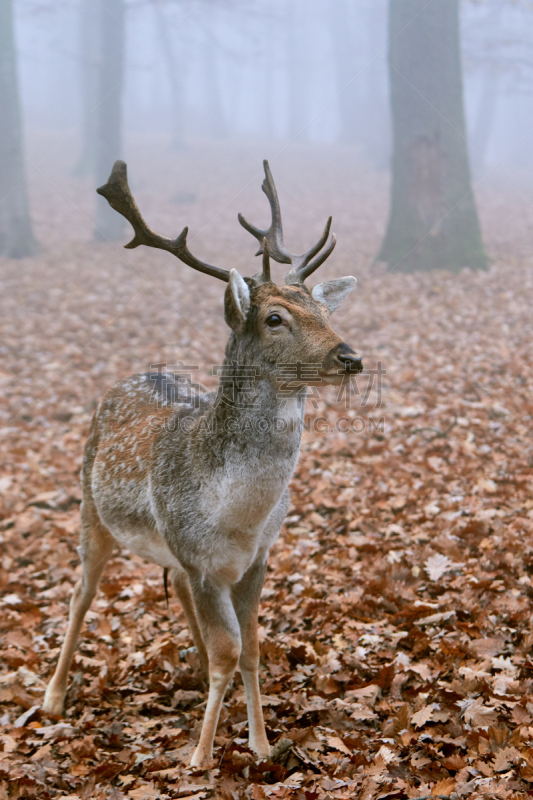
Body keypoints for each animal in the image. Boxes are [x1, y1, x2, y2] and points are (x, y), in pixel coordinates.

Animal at [42, 159, 362, 764]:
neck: (237, 516)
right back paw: (52, 698)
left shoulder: (255, 558)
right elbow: (227, 653)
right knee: (80, 593)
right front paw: (201, 758)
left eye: (325, 309)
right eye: (275, 318)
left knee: (178, 598)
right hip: (90, 511)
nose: (350, 356)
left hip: (170, 554)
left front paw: (261, 745)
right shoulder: (199, 557)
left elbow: (250, 649)